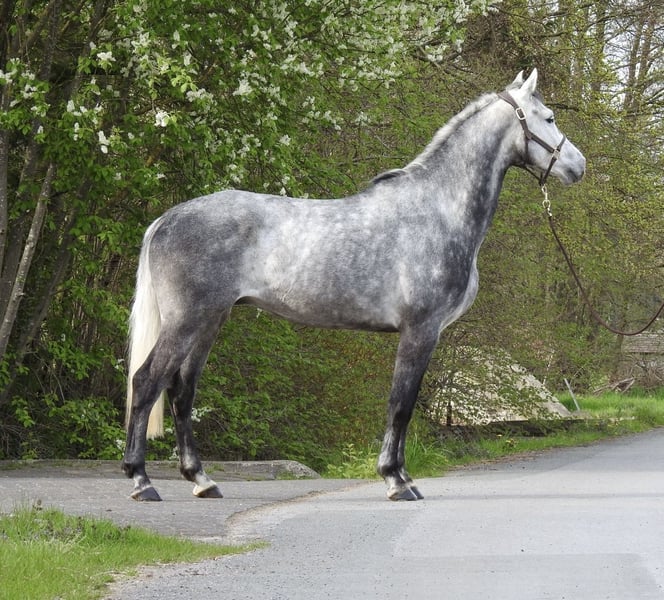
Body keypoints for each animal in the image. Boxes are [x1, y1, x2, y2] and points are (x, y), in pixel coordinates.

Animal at [123, 69, 586, 502]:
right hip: (187, 320)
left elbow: (404, 405)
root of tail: (166, 220)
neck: (437, 210)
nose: (578, 166)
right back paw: (141, 480)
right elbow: (401, 405)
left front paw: (402, 477)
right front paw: (396, 481)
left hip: (209, 320)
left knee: (181, 391)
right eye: (549, 116)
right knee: (147, 382)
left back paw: (202, 480)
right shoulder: (420, 330)